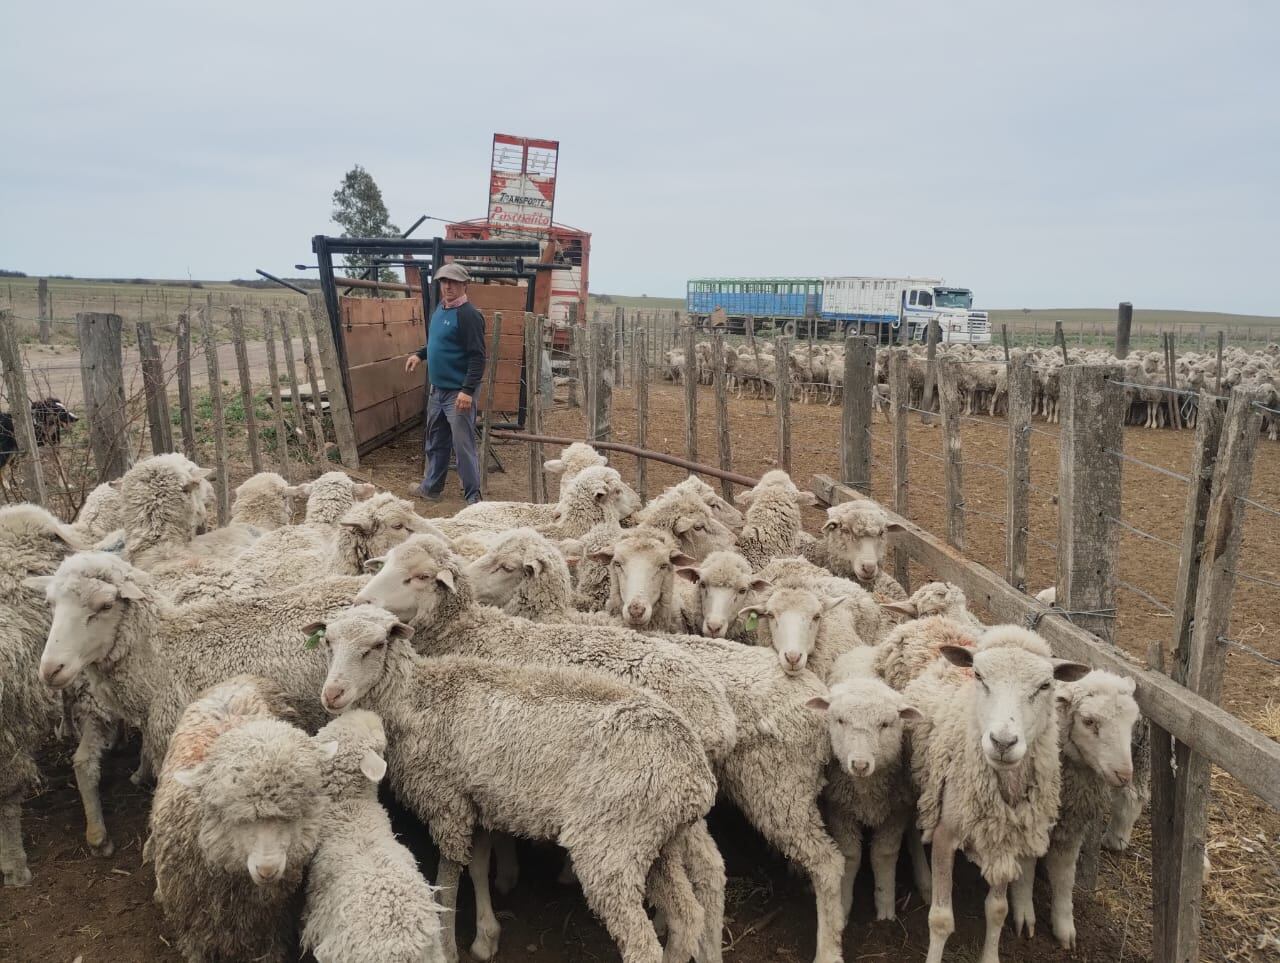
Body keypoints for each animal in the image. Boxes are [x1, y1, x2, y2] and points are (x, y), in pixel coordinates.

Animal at [147, 675, 329, 963]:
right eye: (236, 817)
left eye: (297, 813)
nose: (267, 869)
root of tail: (241, 679)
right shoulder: (195, 931)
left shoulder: (266, 932)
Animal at [455, 534, 849, 963]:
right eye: (617, 563)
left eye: (506, 566)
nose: (465, 581)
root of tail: (820, 695)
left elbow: (480, 851)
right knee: (711, 871)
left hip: (776, 787)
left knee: (827, 863)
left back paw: (828, 948)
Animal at [807, 647, 924, 921]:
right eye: (839, 720)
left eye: (885, 724)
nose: (859, 764)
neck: (866, 790)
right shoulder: (840, 808)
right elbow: (850, 857)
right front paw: (843, 905)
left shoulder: (897, 810)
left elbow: (884, 854)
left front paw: (885, 905)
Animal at [904, 626, 1089, 963]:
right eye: (979, 675)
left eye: (1045, 685)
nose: (1003, 742)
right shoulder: (945, 833)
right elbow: (940, 919)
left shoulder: (1005, 838)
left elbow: (998, 910)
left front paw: (990, 955)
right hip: (918, 780)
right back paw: (923, 880)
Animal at [1009, 670, 1140, 949]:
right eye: (1089, 722)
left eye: (1133, 723)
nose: (1124, 776)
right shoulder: (1028, 819)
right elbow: (1025, 871)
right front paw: (1024, 916)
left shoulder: (1071, 825)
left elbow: (1064, 878)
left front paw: (1064, 928)